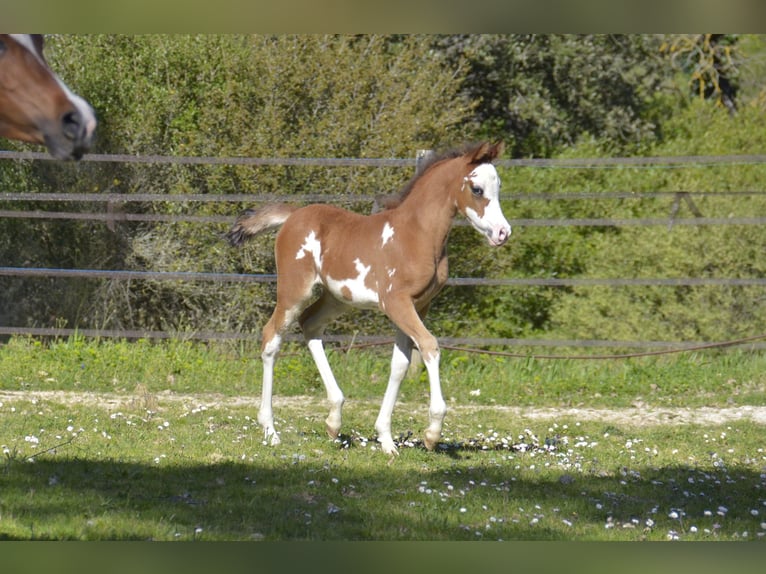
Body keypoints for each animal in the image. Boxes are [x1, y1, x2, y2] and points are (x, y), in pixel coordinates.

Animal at [226, 141, 511, 455]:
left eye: (498, 186)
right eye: (477, 189)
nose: (503, 233)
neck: (416, 234)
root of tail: (293, 216)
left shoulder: (419, 305)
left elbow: (399, 365)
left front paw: (386, 438)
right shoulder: (396, 302)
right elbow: (429, 346)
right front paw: (432, 433)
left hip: (336, 298)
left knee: (310, 324)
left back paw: (334, 420)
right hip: (294, 291)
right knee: (271, 339)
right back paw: (270, 430)